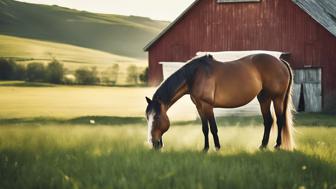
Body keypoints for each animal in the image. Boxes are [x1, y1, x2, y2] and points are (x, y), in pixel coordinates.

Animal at [144, 53, 294, 151]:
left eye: (157, 117)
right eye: (147, 117)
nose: (153, 143)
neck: (194, 75)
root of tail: (280, 61)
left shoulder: (207, 106)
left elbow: (213, 128)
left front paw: (217, 147)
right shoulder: (199, 107)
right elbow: (205, 129)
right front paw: (205, 148)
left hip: (277, 98)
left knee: (279, 120)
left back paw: (277, 145)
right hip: (264, 98)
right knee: (268, 121)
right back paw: (263, 145)